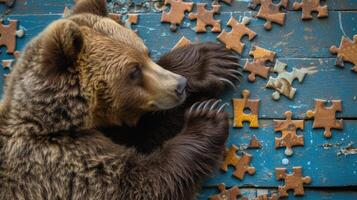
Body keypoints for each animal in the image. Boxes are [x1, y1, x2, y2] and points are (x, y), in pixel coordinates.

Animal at [0, 0, 242, 199]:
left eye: (146, 52)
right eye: (133, 71)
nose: (180, 86)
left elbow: (140, 133)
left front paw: (212, 63)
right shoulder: (59, 165)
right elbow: (139, 183)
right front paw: (206, 117)